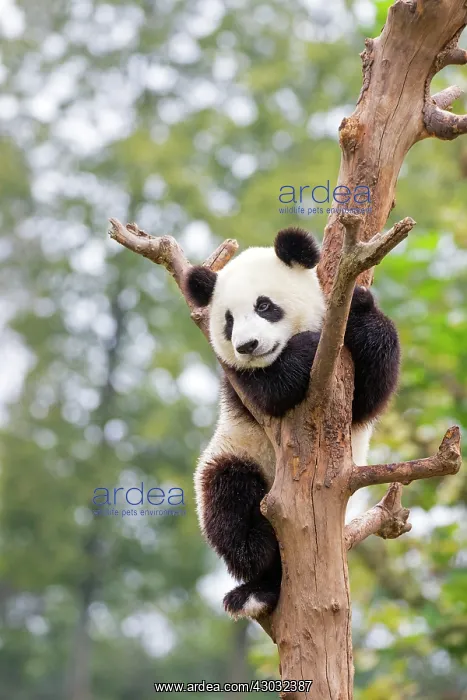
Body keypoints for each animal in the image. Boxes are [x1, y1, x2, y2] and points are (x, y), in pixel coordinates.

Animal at [185, 227, 400, 620]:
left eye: (264, 306)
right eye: (228, 320)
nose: (248, 345)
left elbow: (373, 391)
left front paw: (360, 306)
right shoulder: (236, 380)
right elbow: (274, 388)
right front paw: (307, 348)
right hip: (234, 453)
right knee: (229, 502)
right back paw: (256, 576)